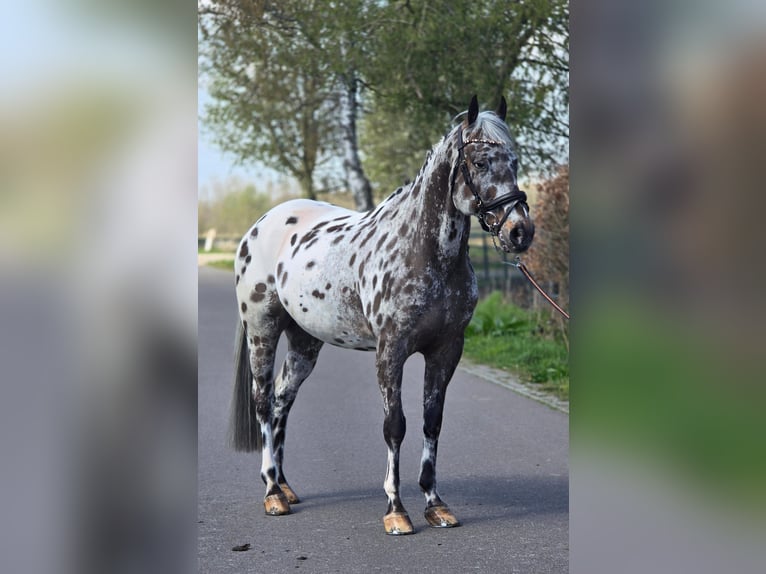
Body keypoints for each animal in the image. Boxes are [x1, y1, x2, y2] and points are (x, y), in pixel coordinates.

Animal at [230, 95, 534, 535]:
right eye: (479, 162)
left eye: (514, 160)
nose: (520, 232)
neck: (424, 251)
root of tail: (261, 224)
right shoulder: (390, 350)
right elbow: (395, 425)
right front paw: (396, 510)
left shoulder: (447, 350)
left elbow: (431, 421)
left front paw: (435, 504)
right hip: (262, 331)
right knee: (263, 403)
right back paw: (272, 493)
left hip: (305, 341)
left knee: (283, 398)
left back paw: (285, 486)